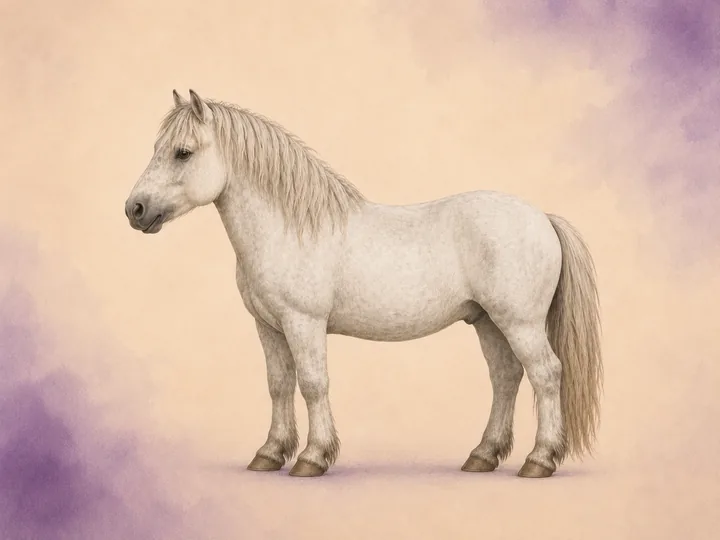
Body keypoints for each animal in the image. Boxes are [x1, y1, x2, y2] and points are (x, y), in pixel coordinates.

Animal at [124, 89, 603, 478]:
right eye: (158, 147)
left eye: (183, 152)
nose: (135, 209)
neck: (289, 228)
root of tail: (542, 217)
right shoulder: (269, 327)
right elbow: (279, 385)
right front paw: (270, 453)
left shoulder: (303, 323)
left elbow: (313, 383)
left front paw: (312, 457)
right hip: (487, 321)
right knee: (505, 378)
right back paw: (483, 455)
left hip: (519, 322)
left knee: (546, 374)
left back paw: (540, 460)